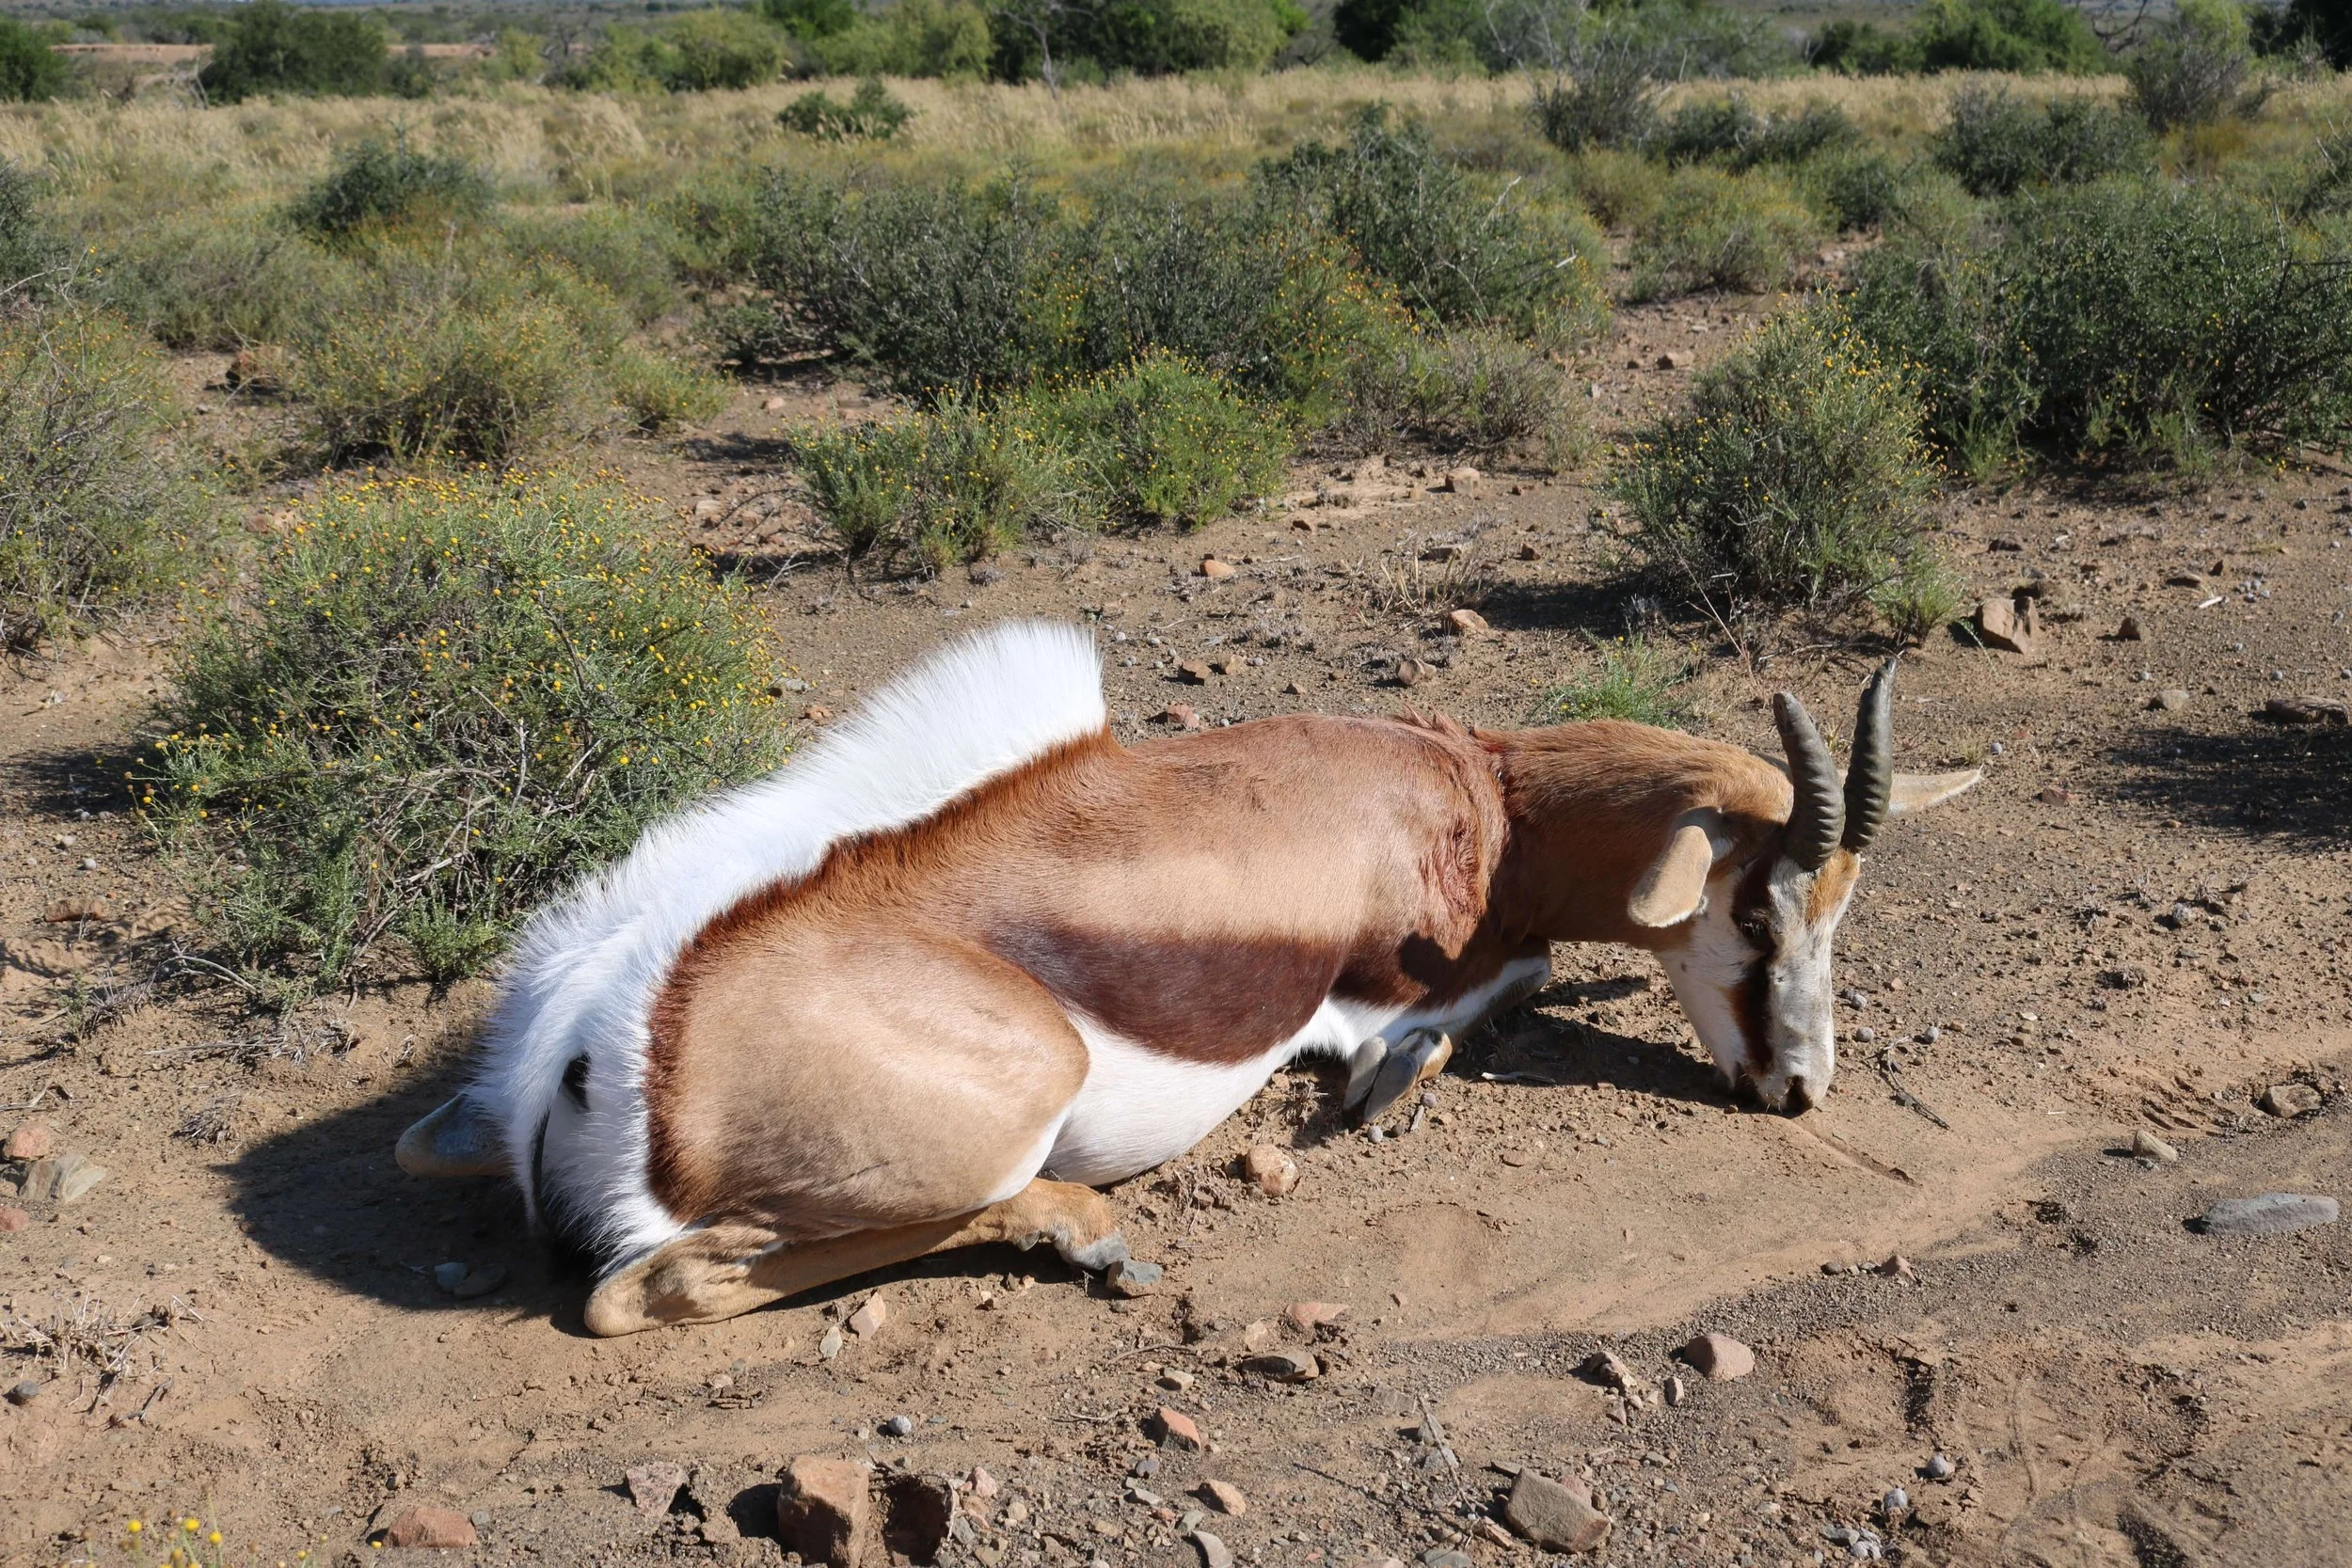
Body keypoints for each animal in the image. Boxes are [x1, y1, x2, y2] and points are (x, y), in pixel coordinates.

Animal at [398, 620, 1976, 1334]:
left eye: (1848, 902)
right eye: (1759, 906)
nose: (1798, 1084)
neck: (1471, 792)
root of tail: (593, 1044)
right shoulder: (1399, 981)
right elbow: (1493, 990)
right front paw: (1386, 1091)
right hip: (1025, 1085)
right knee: (637, 1291)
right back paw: (1086, 1228)